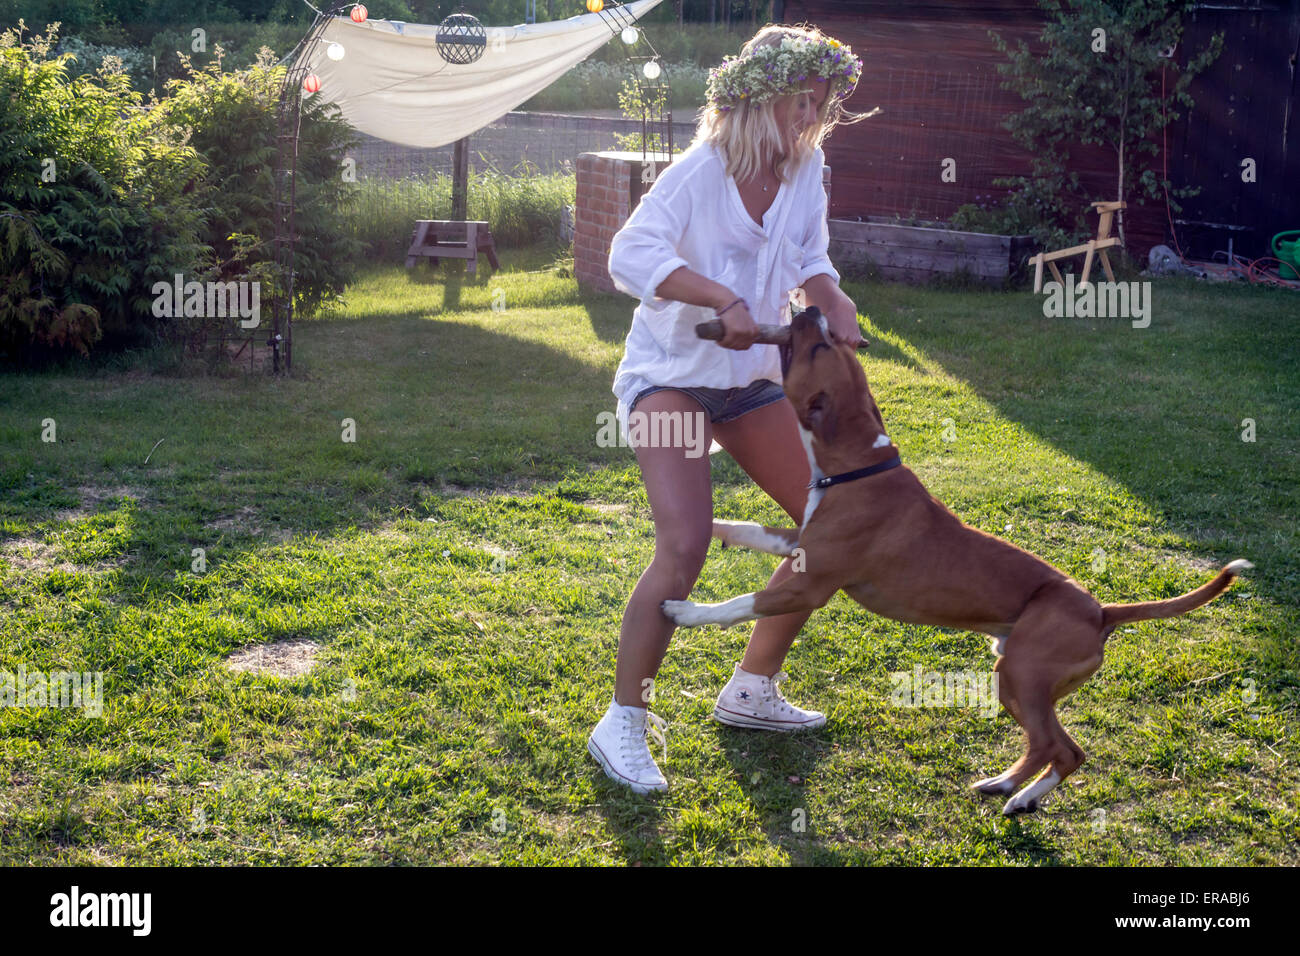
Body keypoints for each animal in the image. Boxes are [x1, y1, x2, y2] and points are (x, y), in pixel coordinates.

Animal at [660, 306, 1248, 816]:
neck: (861, 463)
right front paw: (716, 528)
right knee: (1049, 747)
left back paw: (1021, 799)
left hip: (1023, 677)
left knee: (1064, 750)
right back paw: (1005, 784)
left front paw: (685, 611)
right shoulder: (800, 542)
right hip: (1018, 679)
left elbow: (738, 603)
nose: (812, 311)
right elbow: (754, 531)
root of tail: (1102, 612)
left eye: (819, 345)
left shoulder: (808, 585)